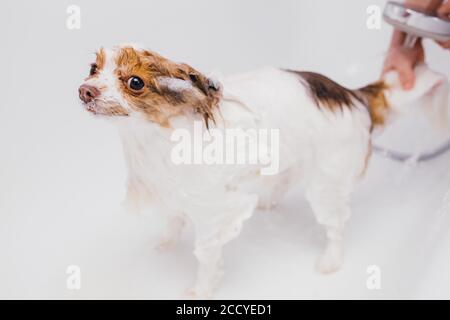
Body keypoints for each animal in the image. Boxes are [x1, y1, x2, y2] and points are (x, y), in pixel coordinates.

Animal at [79, 44, 448, 298]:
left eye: (135, 82)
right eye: (93, 68)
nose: (85, 90)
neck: (152, 137)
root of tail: (351, 96)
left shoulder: (214, 211)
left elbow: (206, 259)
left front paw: (201, 290)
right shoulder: (170, 190)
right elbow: (172, 220)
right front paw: (165, 244)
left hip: (327, 183)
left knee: (336, 227)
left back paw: (330, 260)